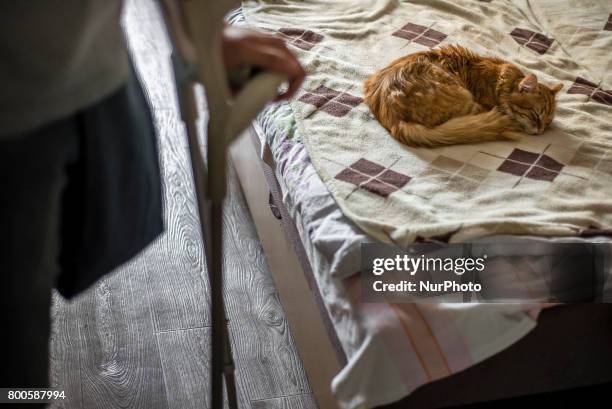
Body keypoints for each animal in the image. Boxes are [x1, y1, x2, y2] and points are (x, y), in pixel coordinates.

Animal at [364, 45, 564, 147]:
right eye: (536, 115)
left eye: (548, 123)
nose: (540, 131)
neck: (500, 83)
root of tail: (394, 121)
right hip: (464, 98)